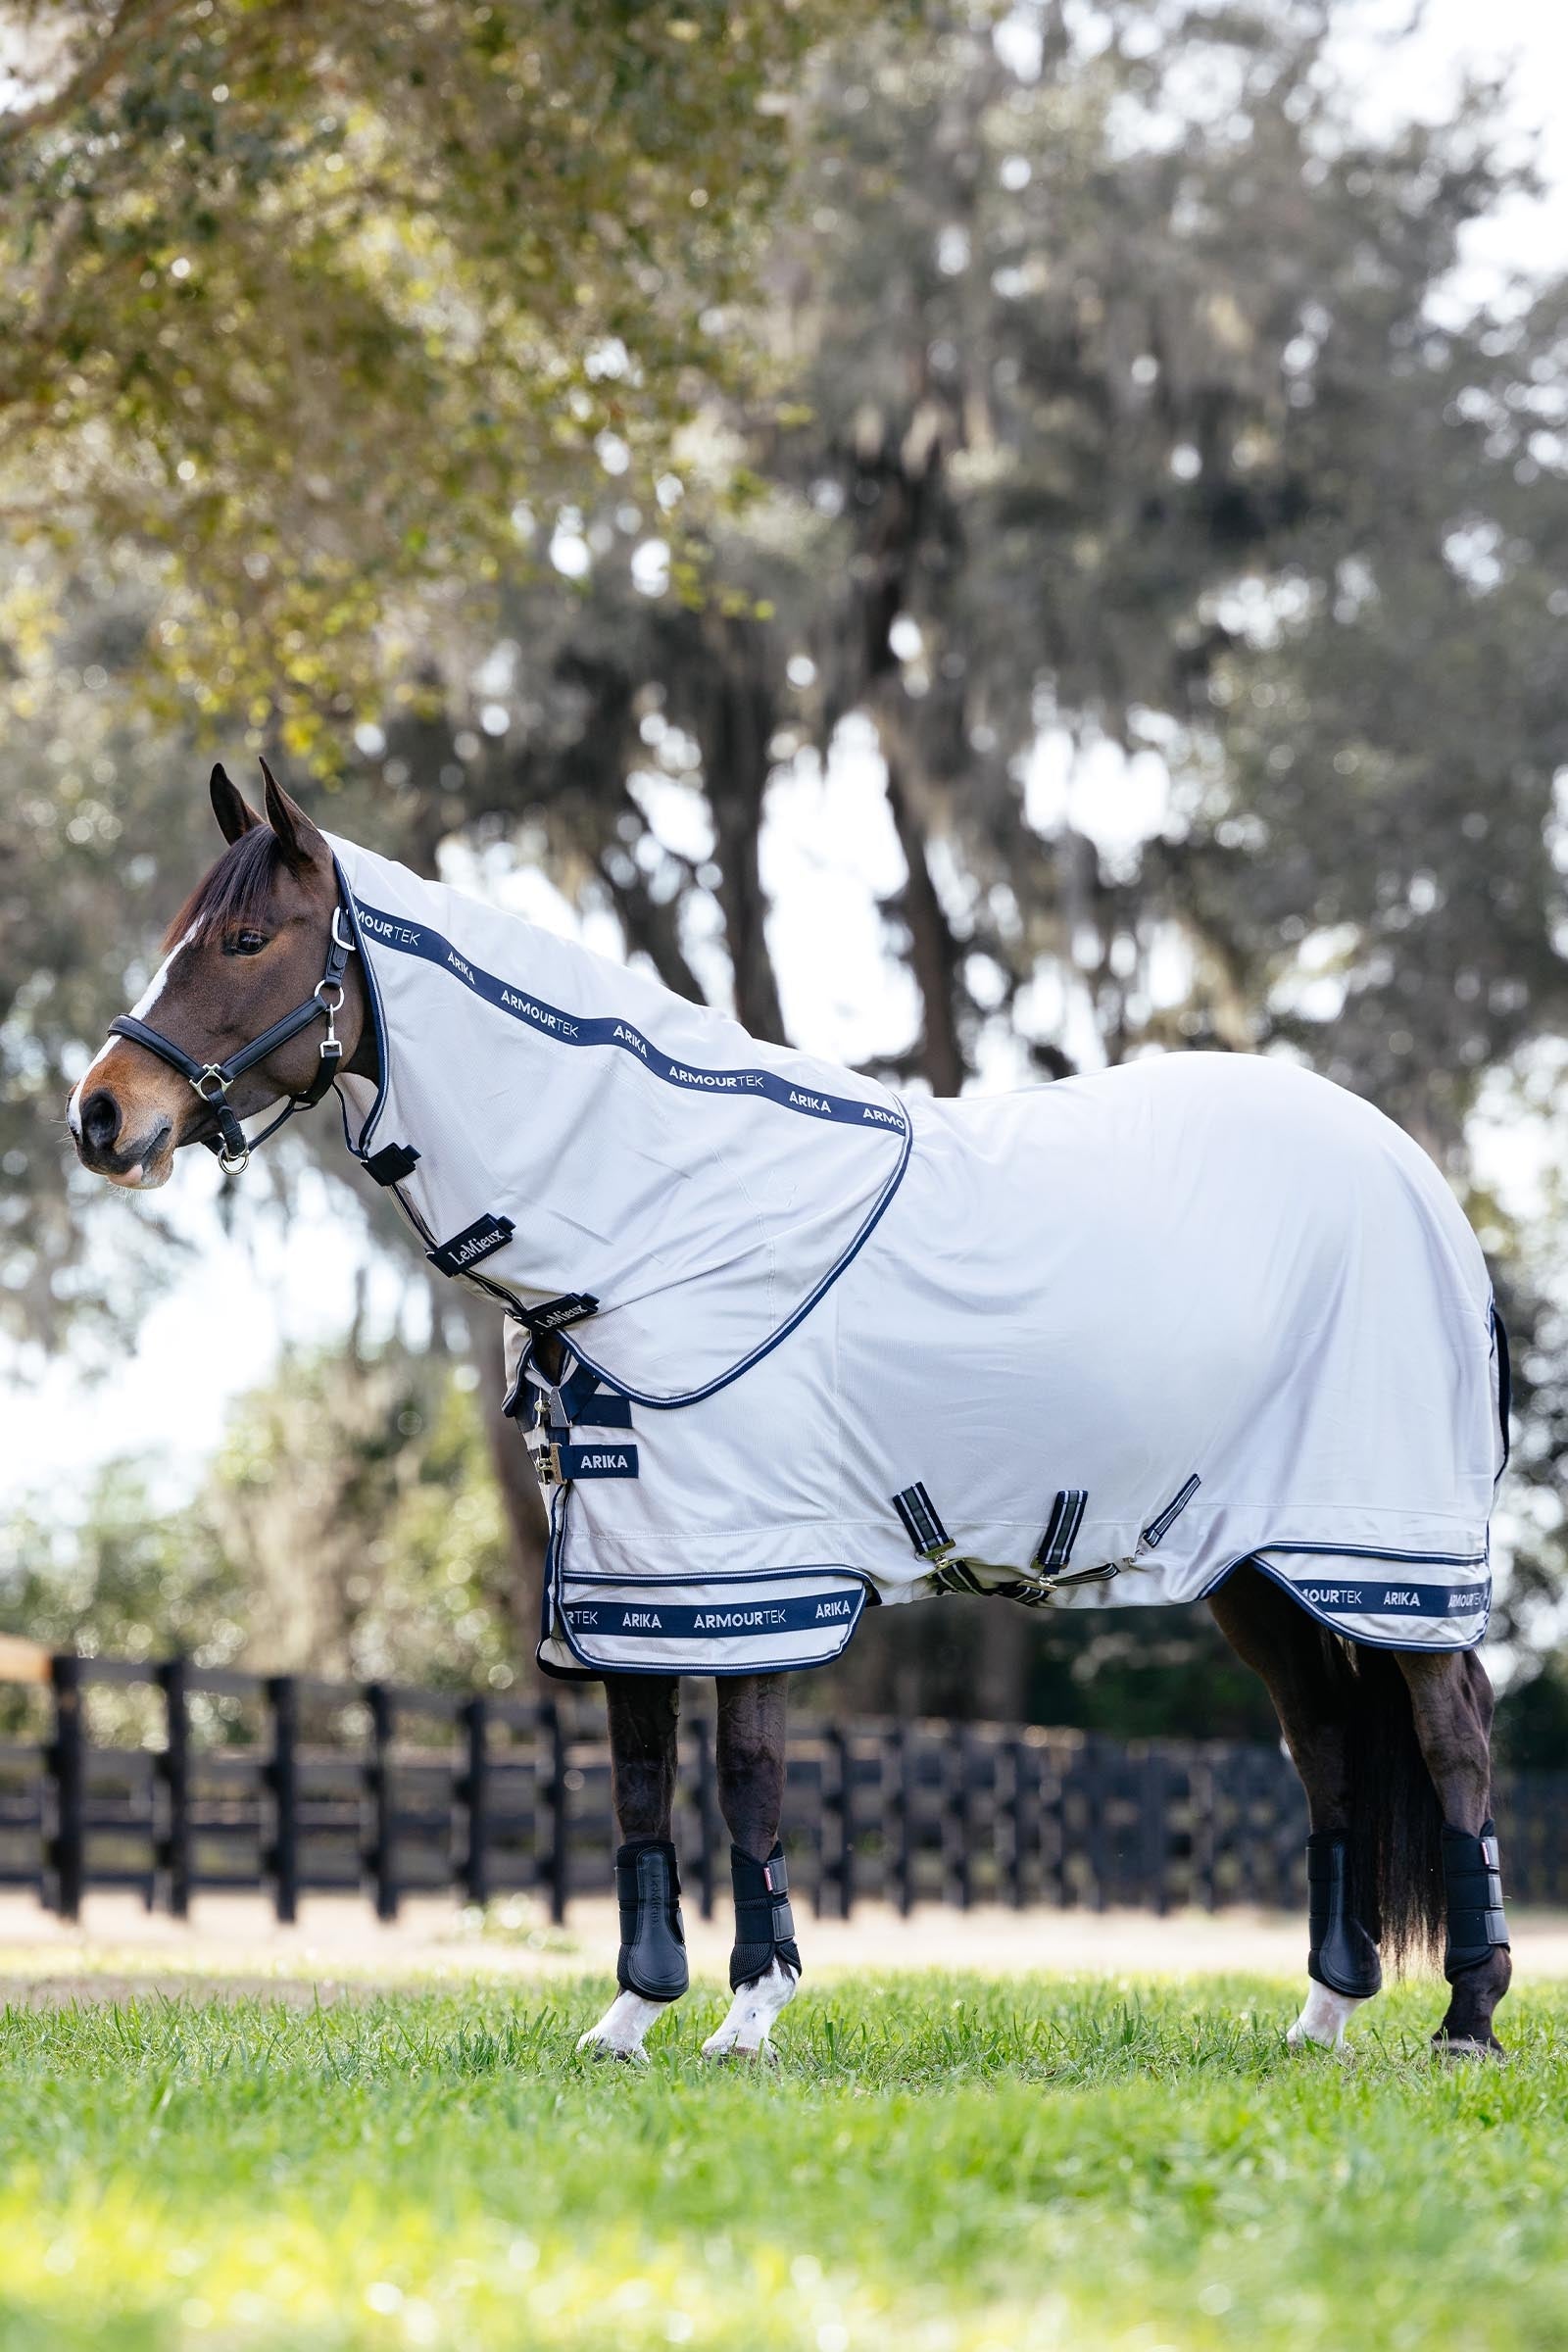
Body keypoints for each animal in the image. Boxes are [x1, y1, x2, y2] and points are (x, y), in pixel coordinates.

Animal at [68, 762, 1513, 2060]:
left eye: (248, 938)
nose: (101, 1115)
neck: (665, 1215)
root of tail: (1416, 1179)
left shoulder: (756, 1573)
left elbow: (747, 1784)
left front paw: (749, 2015)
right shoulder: (632, 1581)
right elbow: (640, 1787)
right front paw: (632, 2015)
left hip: (1384, 1556)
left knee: (1452, 1742)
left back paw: (1470, 2019)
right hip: (1260, 1570)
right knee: (1326, 1747)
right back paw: (1322, 2016)